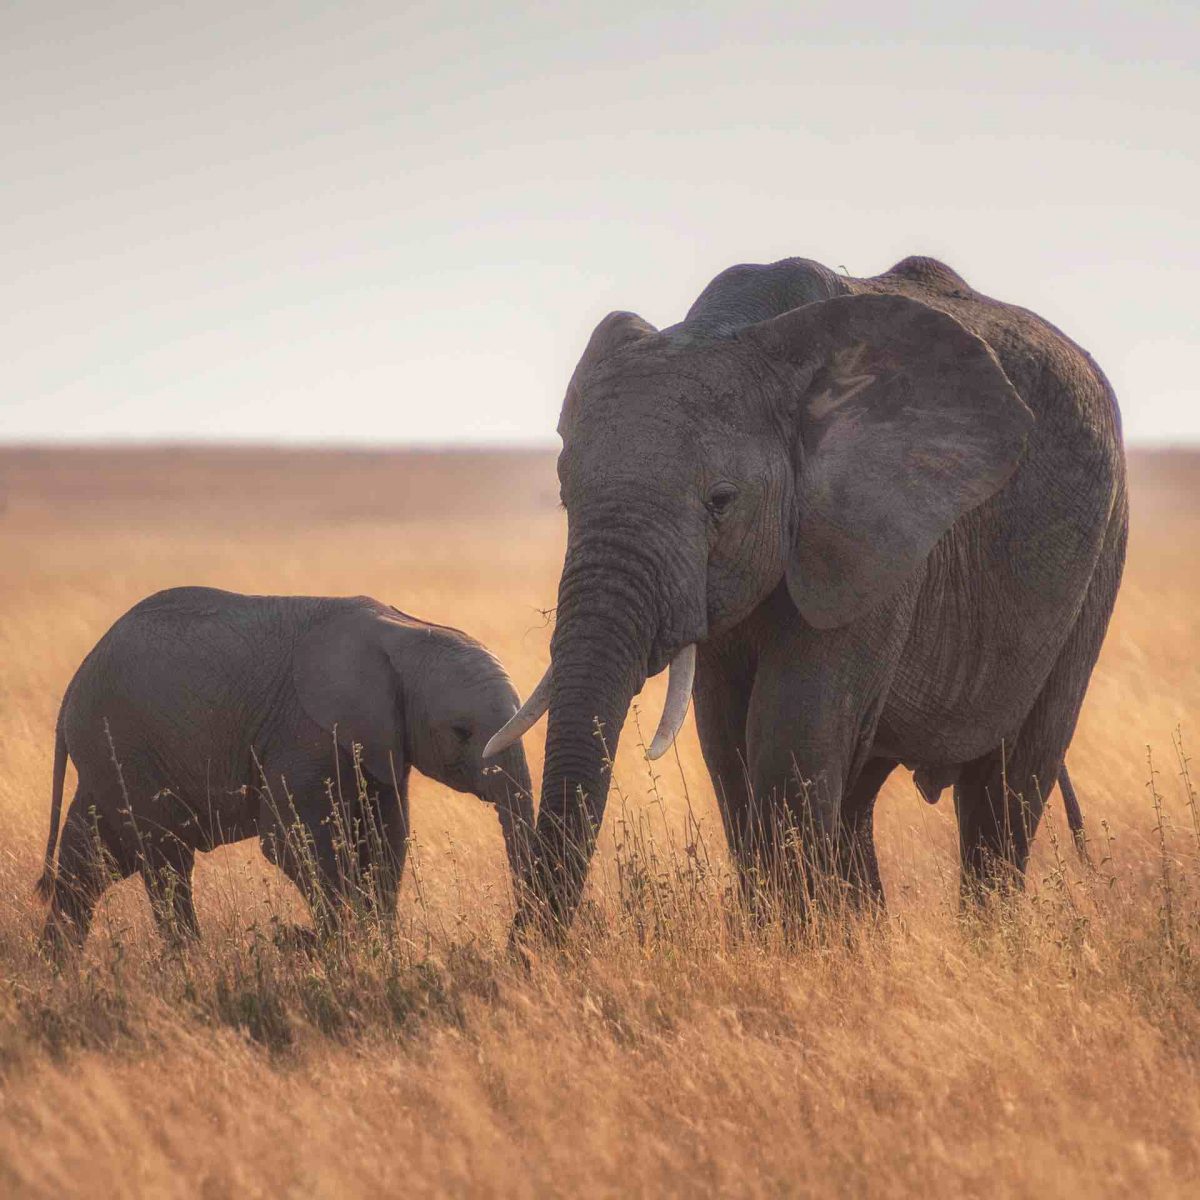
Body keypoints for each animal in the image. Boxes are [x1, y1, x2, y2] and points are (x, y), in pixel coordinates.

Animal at [38, 588, 535, 945]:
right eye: (461, 731)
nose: (517, 936)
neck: (407, 632)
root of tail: (73, 685)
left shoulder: (379, 743)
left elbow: (385, 840)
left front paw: (379, 948)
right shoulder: (304, 731)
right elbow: (292, 842)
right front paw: (342, 947)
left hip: (109, 756)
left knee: (90, 861)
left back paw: (60, 971)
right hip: (125, 746)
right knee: (165, 859)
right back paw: (189, 962)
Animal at [487, 253, 1123, 926]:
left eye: (721, 501)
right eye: (564, 495)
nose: (531, 946)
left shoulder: (877, 535)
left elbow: (789, 735)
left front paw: (794, 941)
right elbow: (728, 744)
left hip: (1101, 553)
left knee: (1007, 785)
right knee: (860, 795)